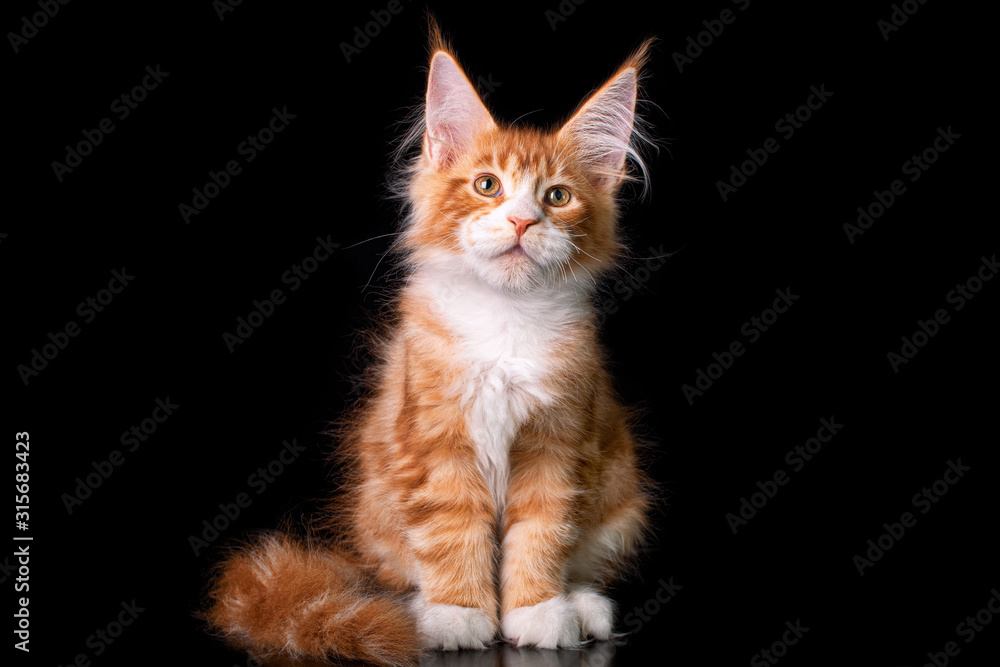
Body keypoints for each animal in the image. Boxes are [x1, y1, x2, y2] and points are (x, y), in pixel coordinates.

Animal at [203, 20, 656, 667]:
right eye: (488, 186)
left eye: (558, 197)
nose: (522, 221)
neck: (504, 321)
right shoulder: (434, 438)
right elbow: (452, 530)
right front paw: (458, 615)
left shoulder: (559, 440)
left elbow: (542, 532)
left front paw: (538, 611)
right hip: (376, 511)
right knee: (396, 573)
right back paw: (419, 609)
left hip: (619, 494)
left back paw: (583, 605)